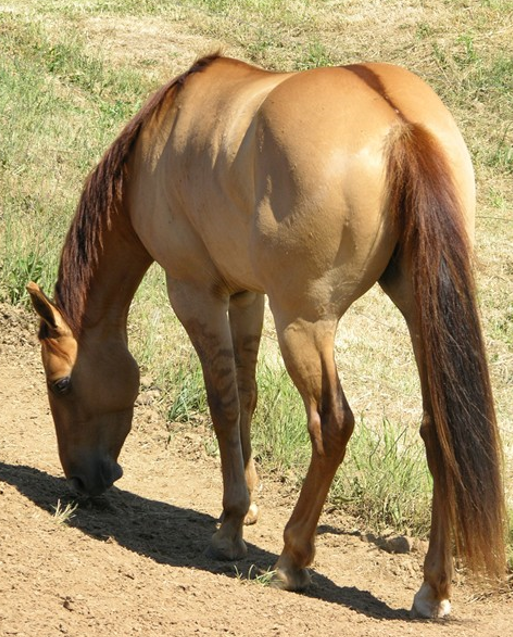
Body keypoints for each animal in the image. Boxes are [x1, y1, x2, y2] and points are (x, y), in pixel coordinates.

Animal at [27, 52, 504, 620]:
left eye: (60, 385)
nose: (80, 481)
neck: (161, 137)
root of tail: (399, 126)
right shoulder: (245, 296)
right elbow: (248, 396)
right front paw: (249, 502)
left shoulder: (196, 294)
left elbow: (224, 403)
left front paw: (231, 525)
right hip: (419, 313)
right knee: (440, 434)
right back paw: (434, 589)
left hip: (303, 322)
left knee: (332, 424)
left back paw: (292, 559)